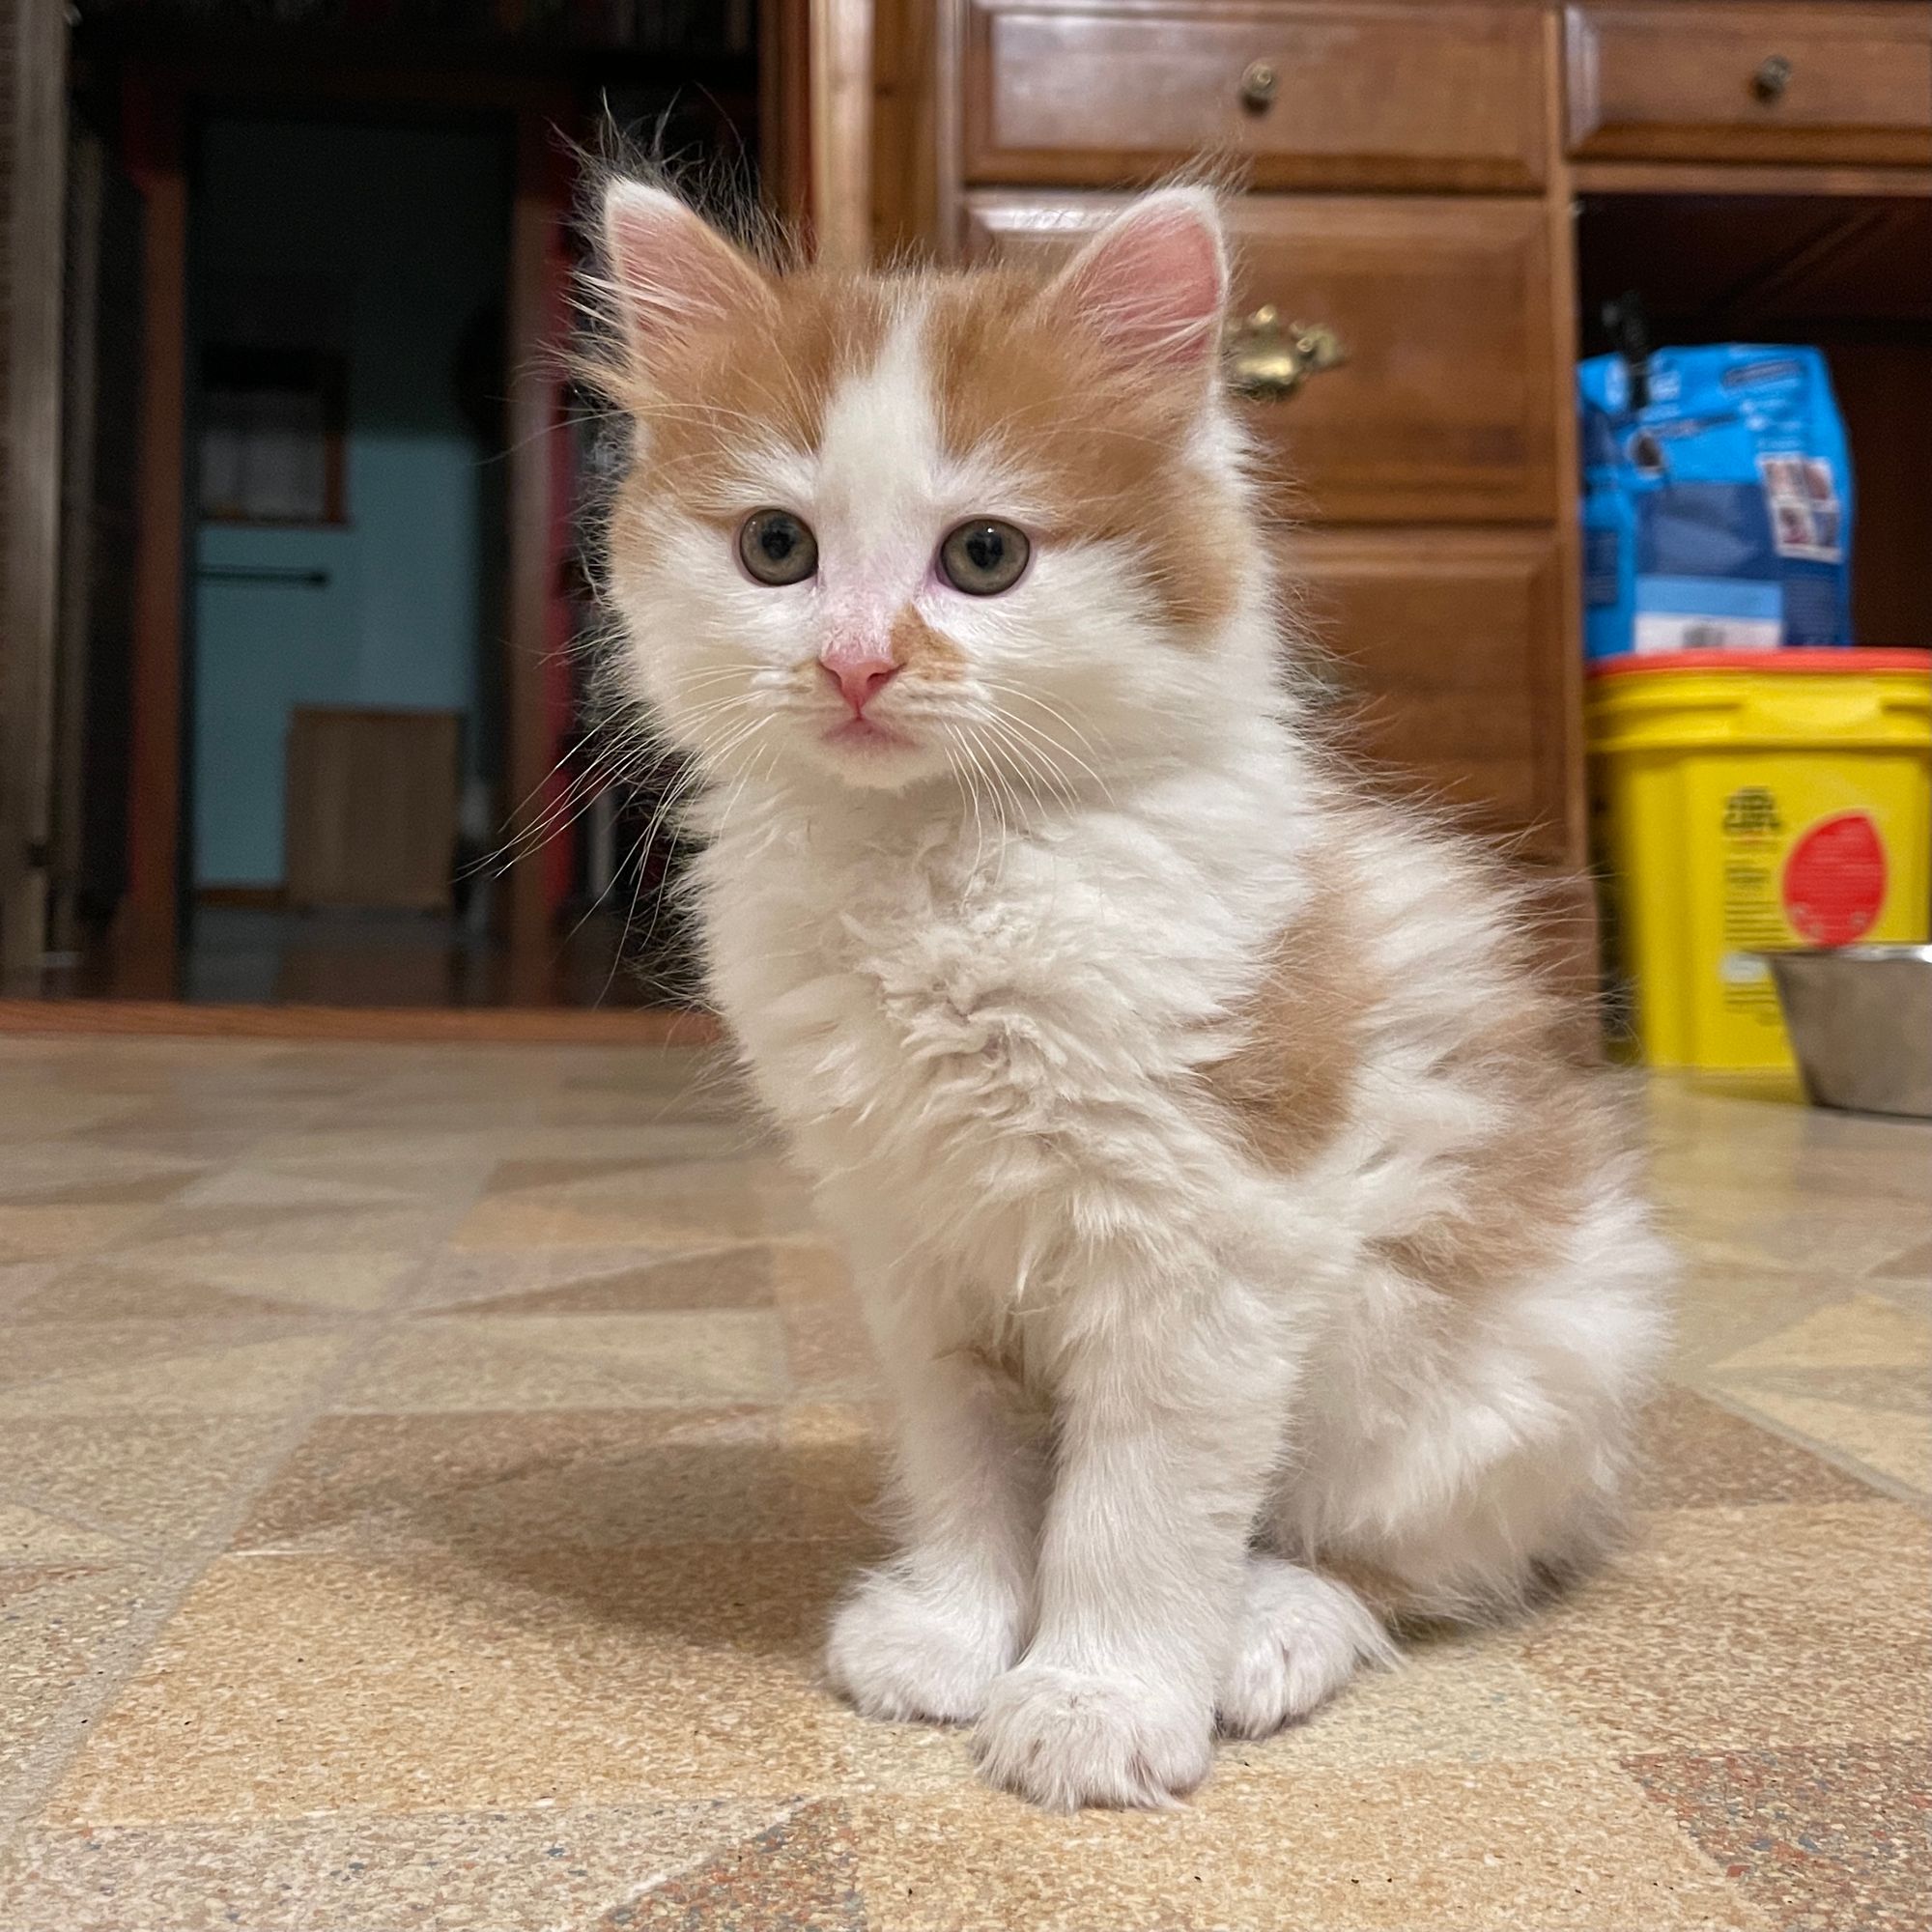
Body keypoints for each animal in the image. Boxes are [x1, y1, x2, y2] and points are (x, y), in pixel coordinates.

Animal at [587, 178, 1677, 1808]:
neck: (946, 870)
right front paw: (956, 1633)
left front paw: (1095, 1702)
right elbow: (970, 1467)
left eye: (985, 557)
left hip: (1479, 1375)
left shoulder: (1205, 1240)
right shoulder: (916, 1249)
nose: (855, 663)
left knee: (1399, 1564)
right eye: (777, 548)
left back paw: (1268, 1632)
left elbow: (1138, 1508)